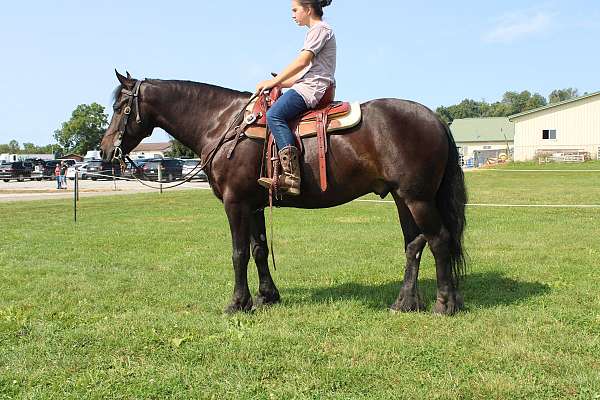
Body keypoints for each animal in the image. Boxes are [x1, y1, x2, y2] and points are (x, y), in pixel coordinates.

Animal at [101, 72, 466, 316]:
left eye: (120, 106)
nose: (105, 151)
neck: (223, 125)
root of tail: (435, 119)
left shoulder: (235, 203)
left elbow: (238, 253)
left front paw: (238, 303)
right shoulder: (254, 205)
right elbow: (259, 250)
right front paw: (267, 296)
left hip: (417, 198)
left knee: (439, 240)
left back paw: (444, 304)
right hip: (403, 198)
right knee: (414, 244)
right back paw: (405, 303)